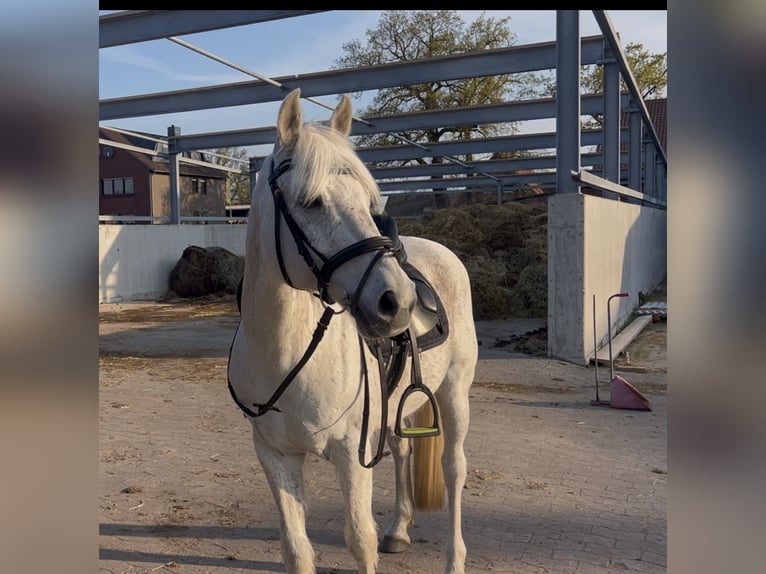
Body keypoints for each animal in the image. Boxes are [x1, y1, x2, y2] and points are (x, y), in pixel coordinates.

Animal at [227, 88, 478, 574]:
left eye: (367, 201)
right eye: (310, 202)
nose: (398, 303)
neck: (286, 355)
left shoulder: (351, 455)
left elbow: (359, 540)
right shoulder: (276, 456)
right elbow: (296, 549)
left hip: (454, 392)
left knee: (455, 469)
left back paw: (454, 559)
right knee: (402, 450)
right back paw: (399, 529)